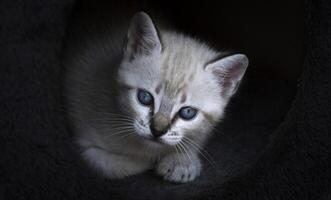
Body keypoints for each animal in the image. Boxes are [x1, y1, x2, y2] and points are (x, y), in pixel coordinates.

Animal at [64, 11, 249, 183]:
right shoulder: (83, 146)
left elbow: (195, 138)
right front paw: (161, 161)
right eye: (145, 98)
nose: (157, 131)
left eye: (188, 112)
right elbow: (115, 166)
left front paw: (183, 161)